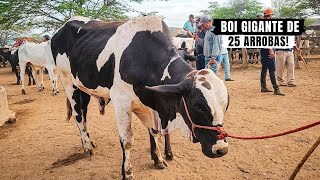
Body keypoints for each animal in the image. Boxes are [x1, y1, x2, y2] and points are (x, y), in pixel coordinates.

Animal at [51, 16, 229, 179]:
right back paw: (87, 147)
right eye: (198, 106)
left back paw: (88, 141)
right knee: (78, 116)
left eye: (225, 105)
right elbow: (127, 140)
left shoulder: (151, 104)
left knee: (84, 113)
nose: (221, 149)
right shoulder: (121, 103)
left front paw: (158, 159)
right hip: (69, 83)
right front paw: (127, 172)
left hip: (83, 89)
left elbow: (154, 131)